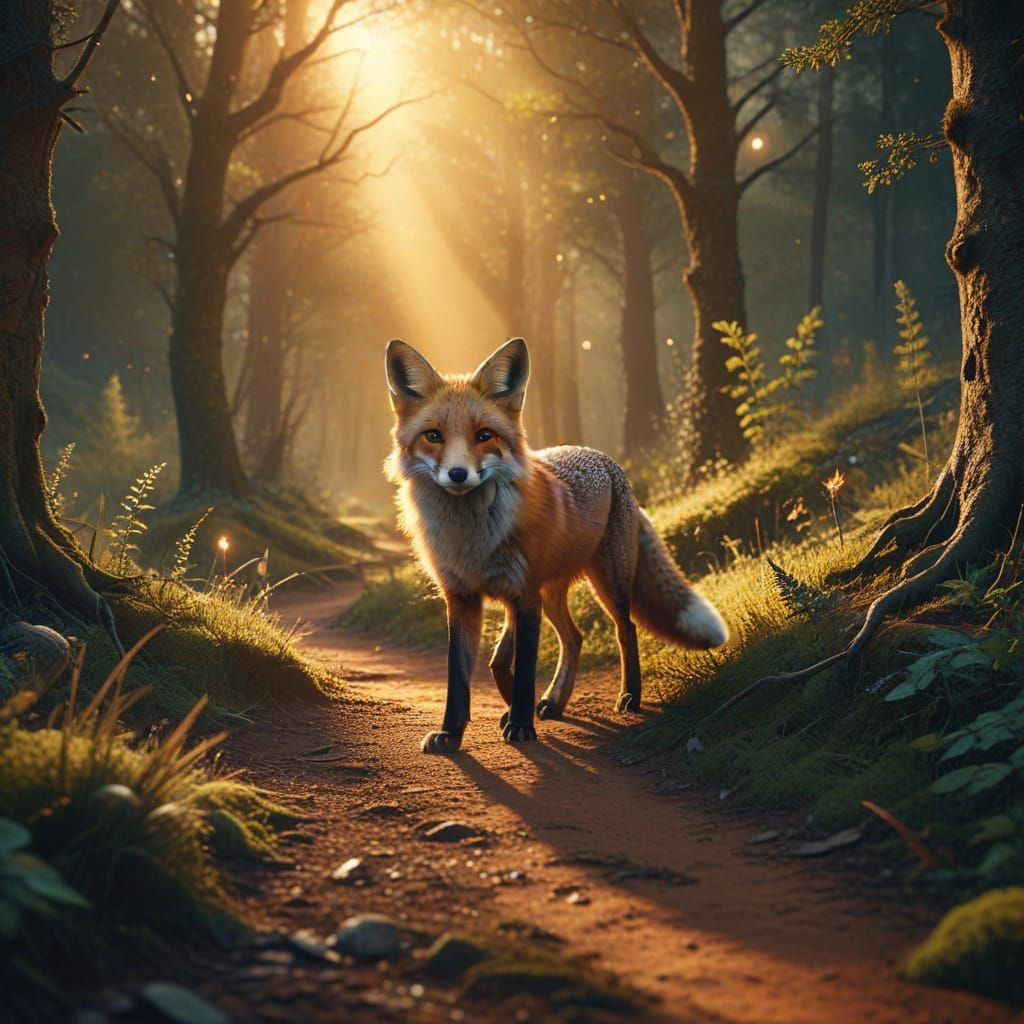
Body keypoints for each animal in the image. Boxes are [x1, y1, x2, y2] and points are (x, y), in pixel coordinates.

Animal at [384, 336, 728, 754]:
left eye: (484, 435)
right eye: (433, 435)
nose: (458, 474)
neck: (472, 537)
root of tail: (604, 459)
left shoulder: (523, 597)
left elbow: (523, 668)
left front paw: (520, 724)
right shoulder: (464, 598)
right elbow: (463, 673)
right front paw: (453, 732)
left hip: (606, 583)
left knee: (625, 629)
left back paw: (629, 696)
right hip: (547, 595)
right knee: (570, 639)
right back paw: (553, 701)